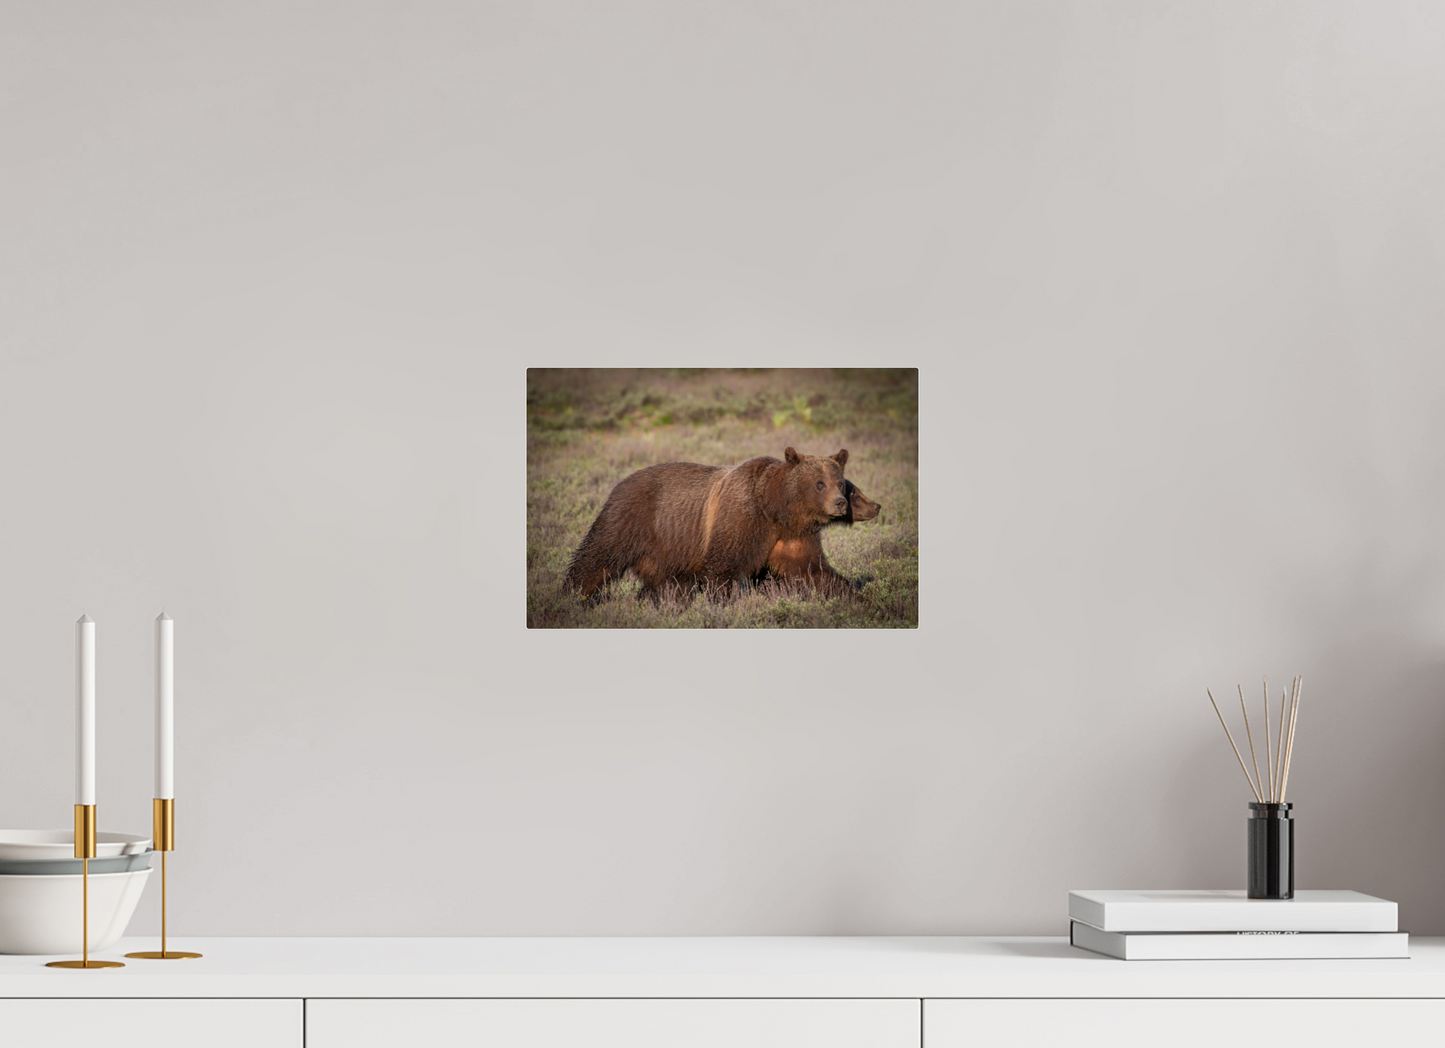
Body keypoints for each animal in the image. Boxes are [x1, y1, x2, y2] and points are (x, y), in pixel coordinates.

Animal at [564, 447, 850, 600]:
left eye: (840, 482)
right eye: (819, 483)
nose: (840, 503)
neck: (775, 509)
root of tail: (619, 483)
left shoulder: (792, 536)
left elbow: (813, 571)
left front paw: (849, 593)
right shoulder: (741, 518)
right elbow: (721, 568)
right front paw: (722, 602)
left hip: (665, 550)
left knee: (667, 584)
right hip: (630, 518)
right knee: (597, 558)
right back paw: (573, 595)